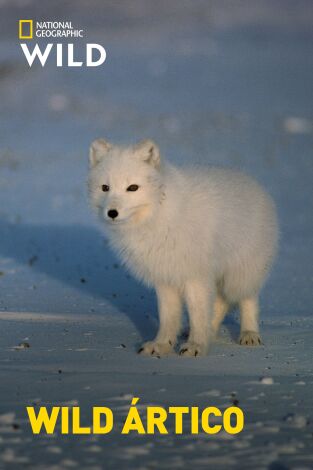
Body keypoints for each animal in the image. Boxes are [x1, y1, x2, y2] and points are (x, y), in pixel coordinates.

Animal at [88, 139, 278, 356]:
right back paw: (210, 331)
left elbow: (197, 313)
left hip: (242, 272)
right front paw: (162, 344)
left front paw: (196, 345)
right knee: (221, 301)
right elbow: (168, 316)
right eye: (105, 187)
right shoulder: (165, 276)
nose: (112, 213)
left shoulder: (195, 275)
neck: (159, 215)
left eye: (132, 187)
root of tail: (254, 182)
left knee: (247, 297)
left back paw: (249, 333)